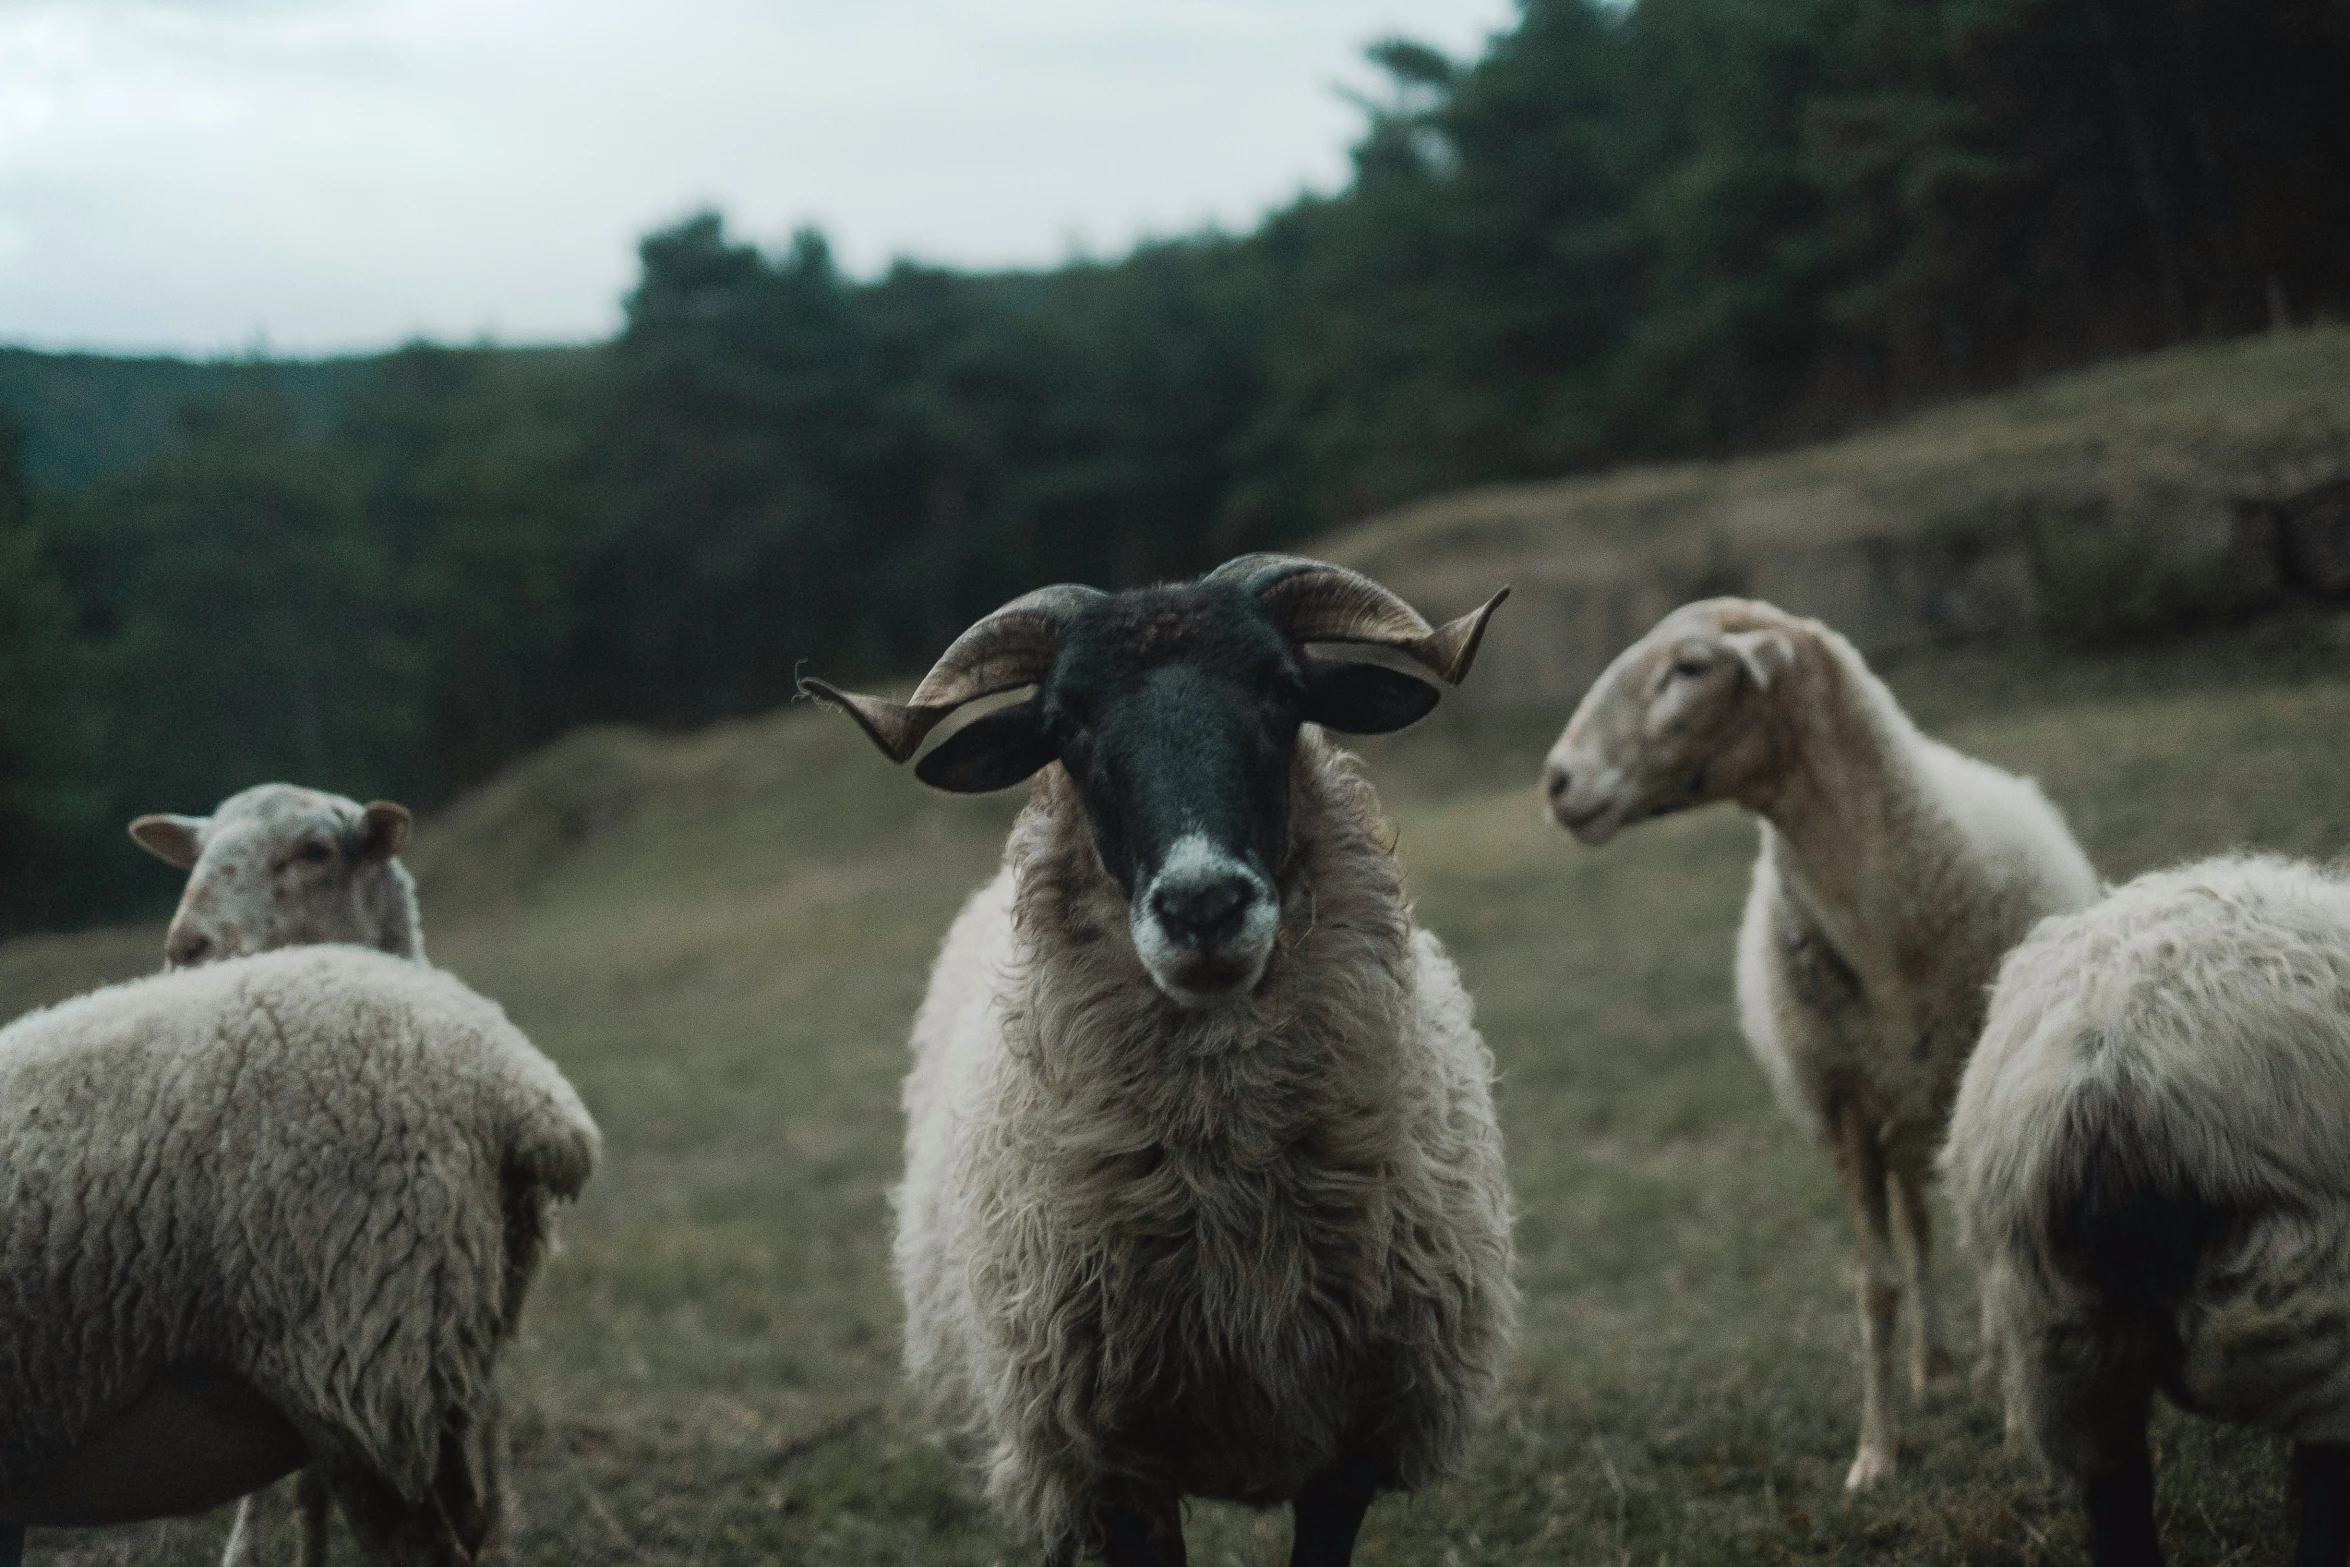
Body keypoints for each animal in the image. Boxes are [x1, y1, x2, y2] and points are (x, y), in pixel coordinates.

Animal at [1532, 594, 2105, 1494]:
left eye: (1690, 666)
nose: (1557, 781)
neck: (1883, 922)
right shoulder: (1844, 1106)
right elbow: (1875, 1281)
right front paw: (1876, 1453)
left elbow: (1994, 1259)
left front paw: (2020, 1433)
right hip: (1902, 1118)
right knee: (1919, 1225)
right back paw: (1936, 1366)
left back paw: (1985, 1366)